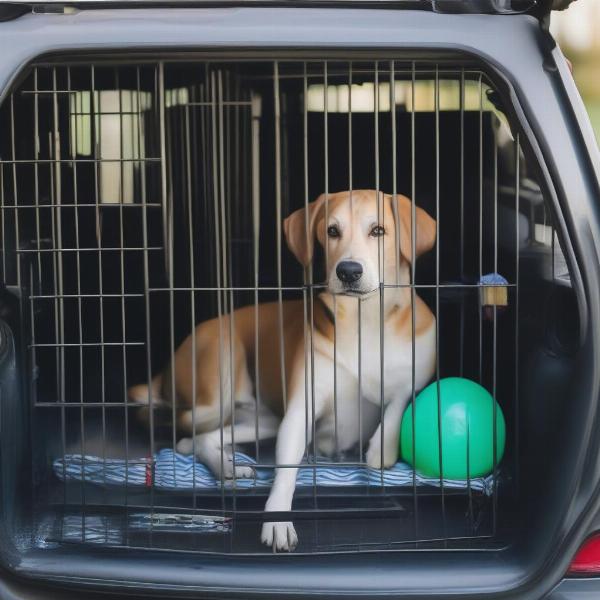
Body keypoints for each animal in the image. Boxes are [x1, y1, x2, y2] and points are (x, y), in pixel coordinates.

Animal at [127, 190, 436, 552]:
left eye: (378, 231)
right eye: (332, 231)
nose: (348, 271)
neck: (365, 320)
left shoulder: (416, 370)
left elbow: (398, 402)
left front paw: (380, 448)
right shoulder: (300, 412)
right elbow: (287, 469)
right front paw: (277, 520)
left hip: (264, 420)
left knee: (201, 439)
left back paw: (227, 466)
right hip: (220, 377)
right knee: (185, 431)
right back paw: (224, 463)